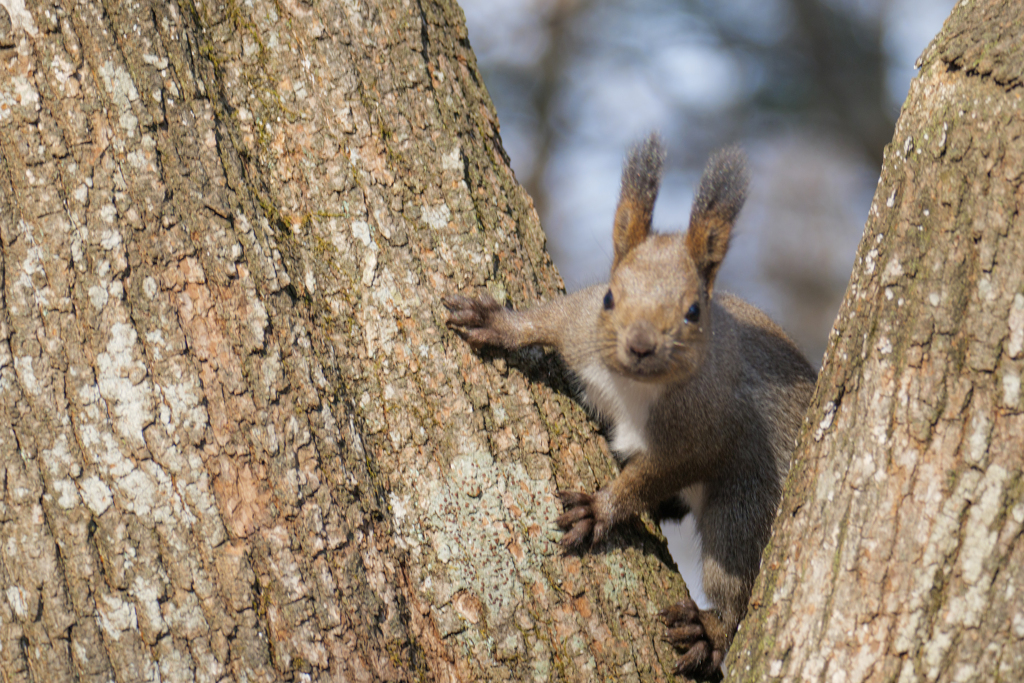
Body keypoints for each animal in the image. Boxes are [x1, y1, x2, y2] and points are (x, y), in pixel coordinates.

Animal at [444, 133, 811, 679]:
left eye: (693, 312)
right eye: (610, 298)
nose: (639, 345)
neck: (631, 386)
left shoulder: (701, 432)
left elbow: (652, 475)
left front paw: (601, 508)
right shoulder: (578, 327)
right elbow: (545, 321)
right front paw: (496, 321)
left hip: (744, 504)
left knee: (734, 576)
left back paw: (710, 630)